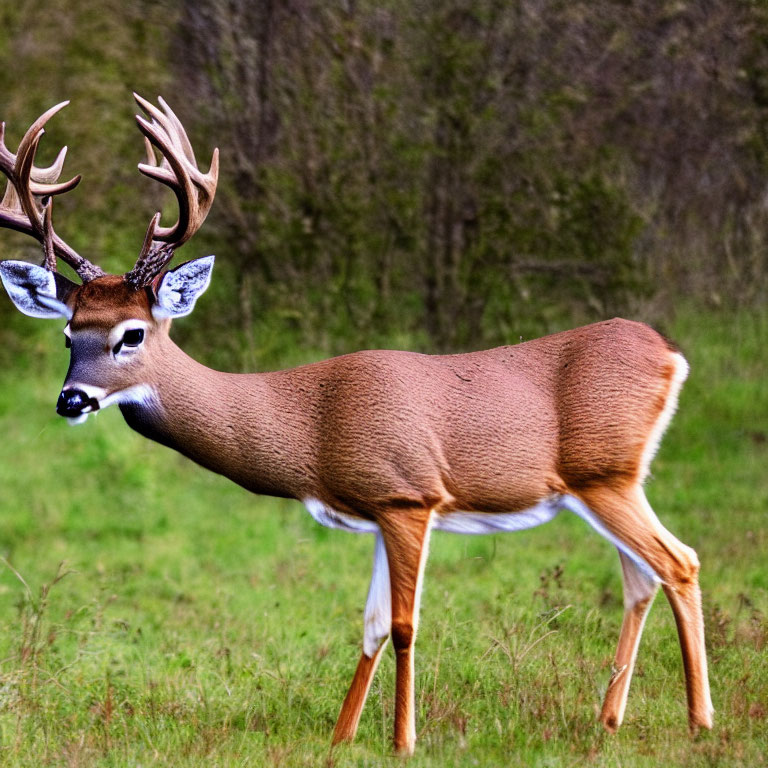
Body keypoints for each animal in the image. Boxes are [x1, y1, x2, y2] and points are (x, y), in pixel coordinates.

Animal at [0, 97, 712, 756]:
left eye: (132, 334)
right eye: (68, 332)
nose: (71, 399)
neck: (312, 428)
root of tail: (671, 354)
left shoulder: (408, 493)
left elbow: (403, 623)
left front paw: (403, 741)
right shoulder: (375, 508)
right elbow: (368, 623)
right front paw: (341, 739)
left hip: (606, 472)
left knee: (679, 562)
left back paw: (699, 720)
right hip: (607, 483)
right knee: (641, 578)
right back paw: (609, 720)